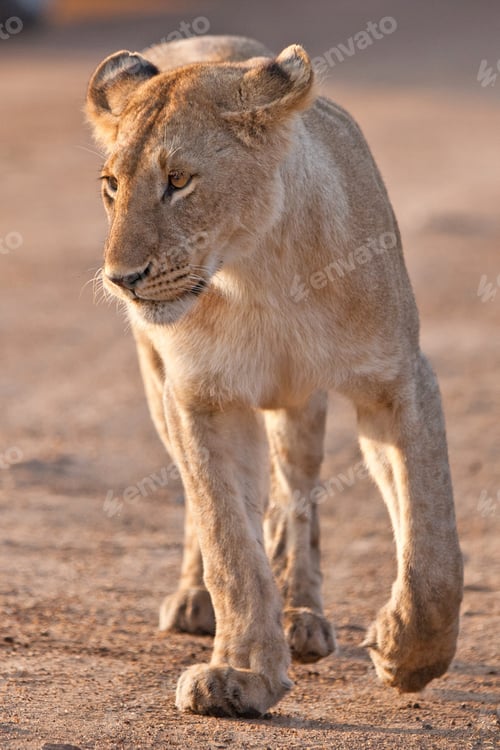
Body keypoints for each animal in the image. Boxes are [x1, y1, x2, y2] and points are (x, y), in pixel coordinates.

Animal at [86, 35, 463, 718]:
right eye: (111, 186)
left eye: (178, 181)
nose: (121, 279)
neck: (258, 274)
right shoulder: (200, 398)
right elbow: (229, 544)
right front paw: (239, 673)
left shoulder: (398, 381)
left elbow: (431, 543)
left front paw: (408, 654)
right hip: (161, 388)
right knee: (209, 504)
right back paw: (197, 601)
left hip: (301, 406)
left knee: (299, 497)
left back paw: (304, 615)